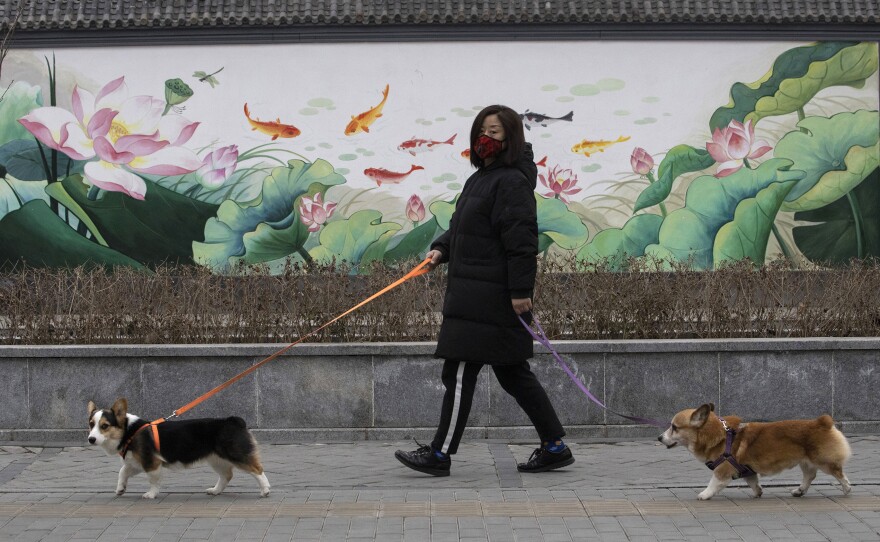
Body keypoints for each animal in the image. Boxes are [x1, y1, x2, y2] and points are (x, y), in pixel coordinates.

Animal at [88, 400, 272, 502]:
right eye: (91, 424)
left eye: (104, 426)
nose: (91, 439)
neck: (129, 431)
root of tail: (234, 421)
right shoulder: (137, 462)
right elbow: (122, 472)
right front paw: (120, 489)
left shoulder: (151, 462)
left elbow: (153, 480)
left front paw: (151, 494)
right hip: (216, 459)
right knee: (227, 475)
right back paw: (215, 490)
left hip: (236, 454)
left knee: (257, 469)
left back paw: (265, 490)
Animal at [660, 404, 852, 502]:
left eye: (674, 427)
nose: (659, 437)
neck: (719, 436)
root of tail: (823, 422)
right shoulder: (747, 470)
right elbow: (753, 482)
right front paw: (758, 492)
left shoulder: (722, 470)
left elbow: (713, 483)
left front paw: (704, 494)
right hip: (805, 461)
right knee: (809, 476)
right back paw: (799, 491)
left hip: (823, 461)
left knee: (838, 473)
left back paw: (846, 488)